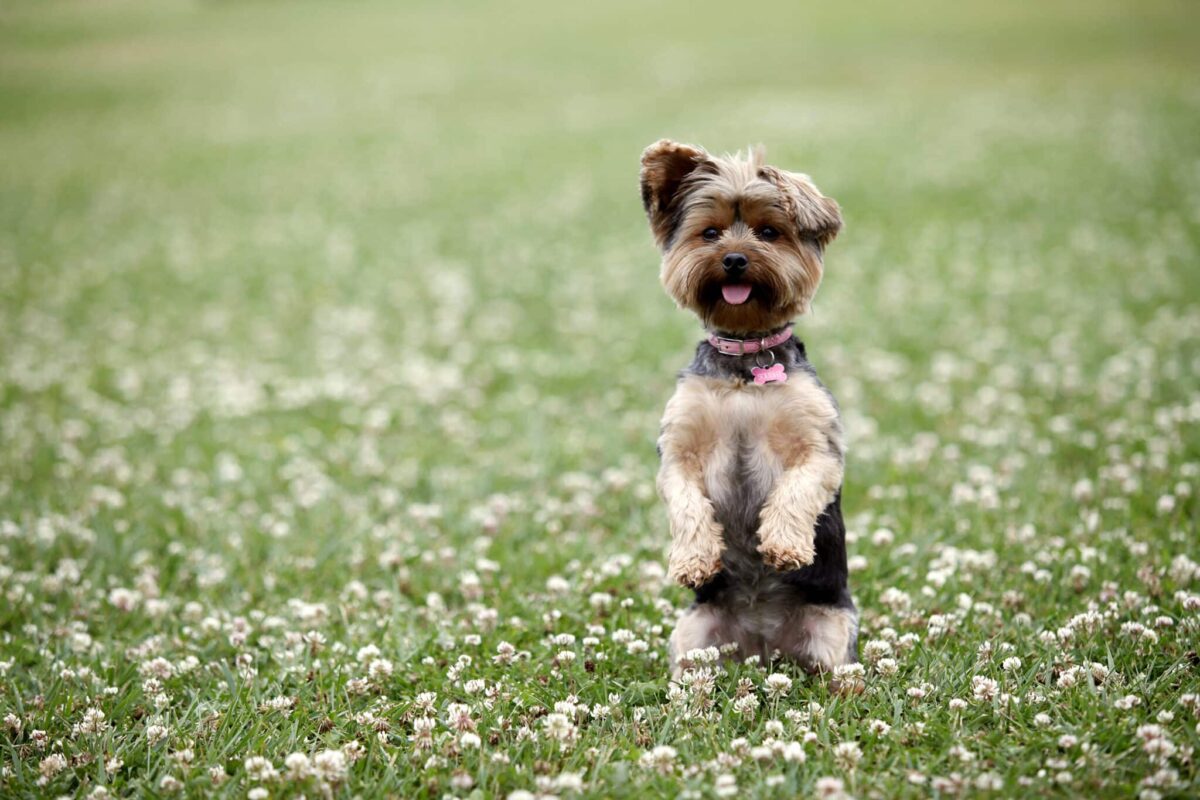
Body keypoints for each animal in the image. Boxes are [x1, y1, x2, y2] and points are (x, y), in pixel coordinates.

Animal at [643, 140, 859, 681]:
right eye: (710, 233)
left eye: (768, 232)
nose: (735, 258)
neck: (746, 362)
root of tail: (763, 647)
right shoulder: (678, 451)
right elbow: (686, 503)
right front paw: (694, 559)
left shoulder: (819, 447)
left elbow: (795, 489)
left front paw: (783, 544)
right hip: (695, 634)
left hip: (833, 629)